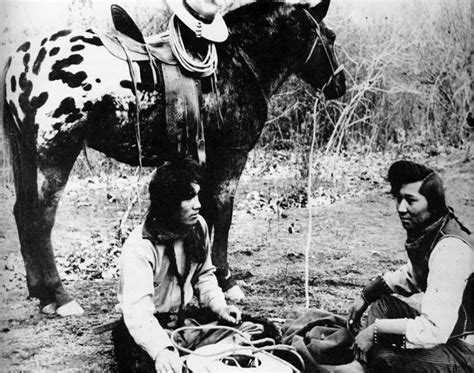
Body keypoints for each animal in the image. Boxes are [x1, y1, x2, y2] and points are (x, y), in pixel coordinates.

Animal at [2, 0, 344, 316]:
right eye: (330, 36)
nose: (340, 85)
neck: (238, 63)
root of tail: (22, 59)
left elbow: (205, 214)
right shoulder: (231, 157)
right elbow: (223, 213)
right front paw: (227, 280)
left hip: (26, 154)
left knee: (22, 213)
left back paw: (41, 293)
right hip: (55, 153)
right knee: (40, 219)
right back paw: (61, 297)